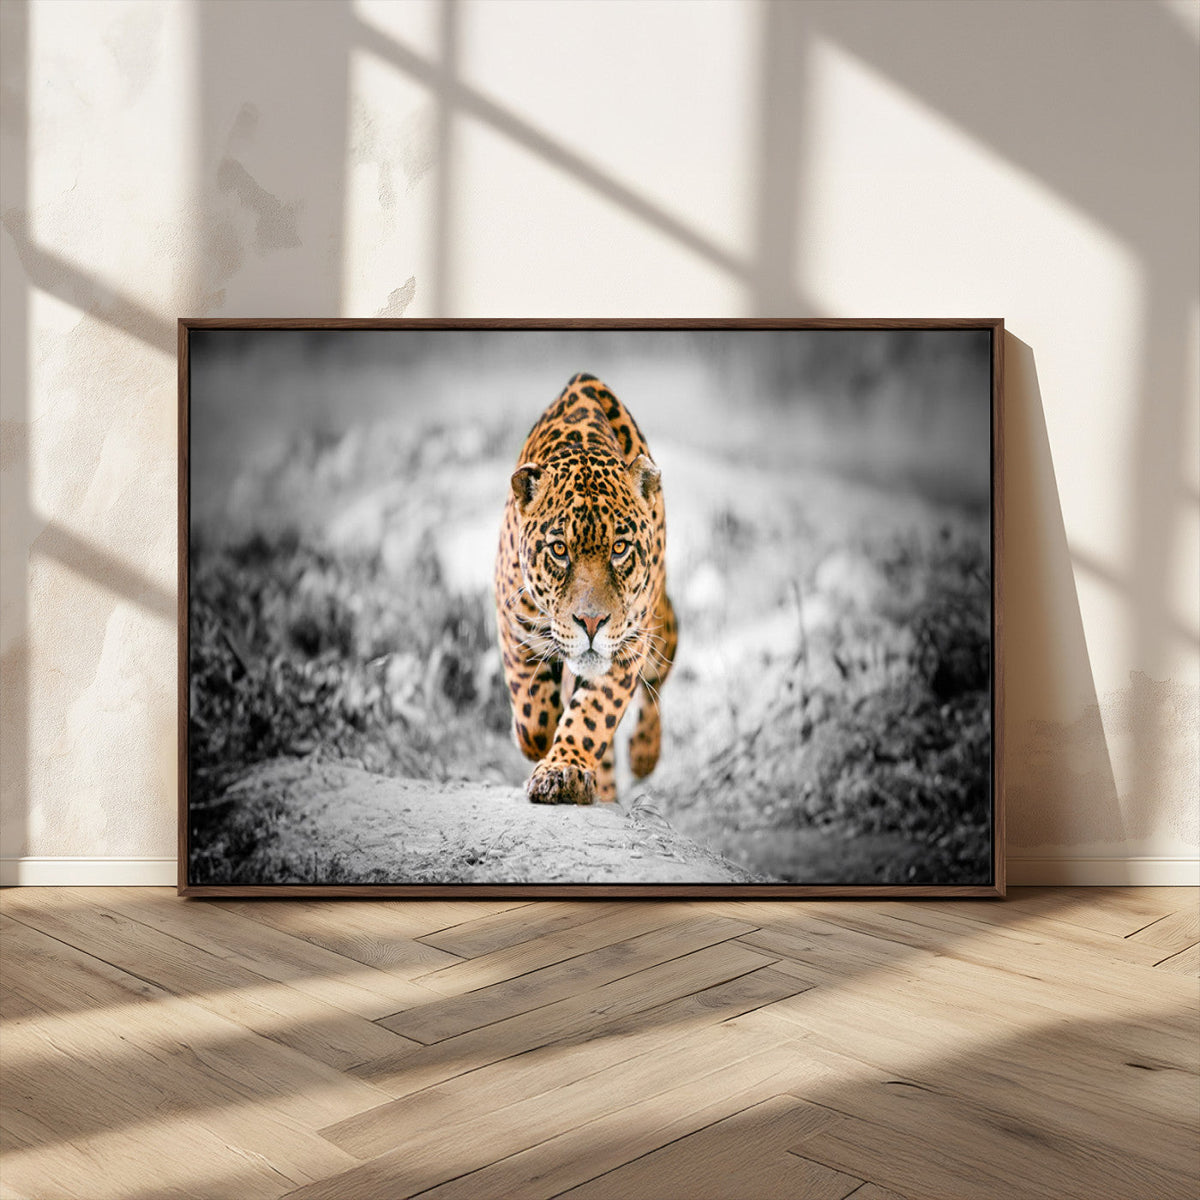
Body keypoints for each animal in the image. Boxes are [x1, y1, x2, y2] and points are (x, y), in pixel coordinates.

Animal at [493, 373, 678, 805]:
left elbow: (592, 714)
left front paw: (563, 770)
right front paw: (538, 744)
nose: (591, 623)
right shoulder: (513, 622)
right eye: (559, 550)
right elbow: (533, 712)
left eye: (620, 548)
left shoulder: (628, 644)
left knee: (658, 680)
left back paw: (643, 755)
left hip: (661, 628)